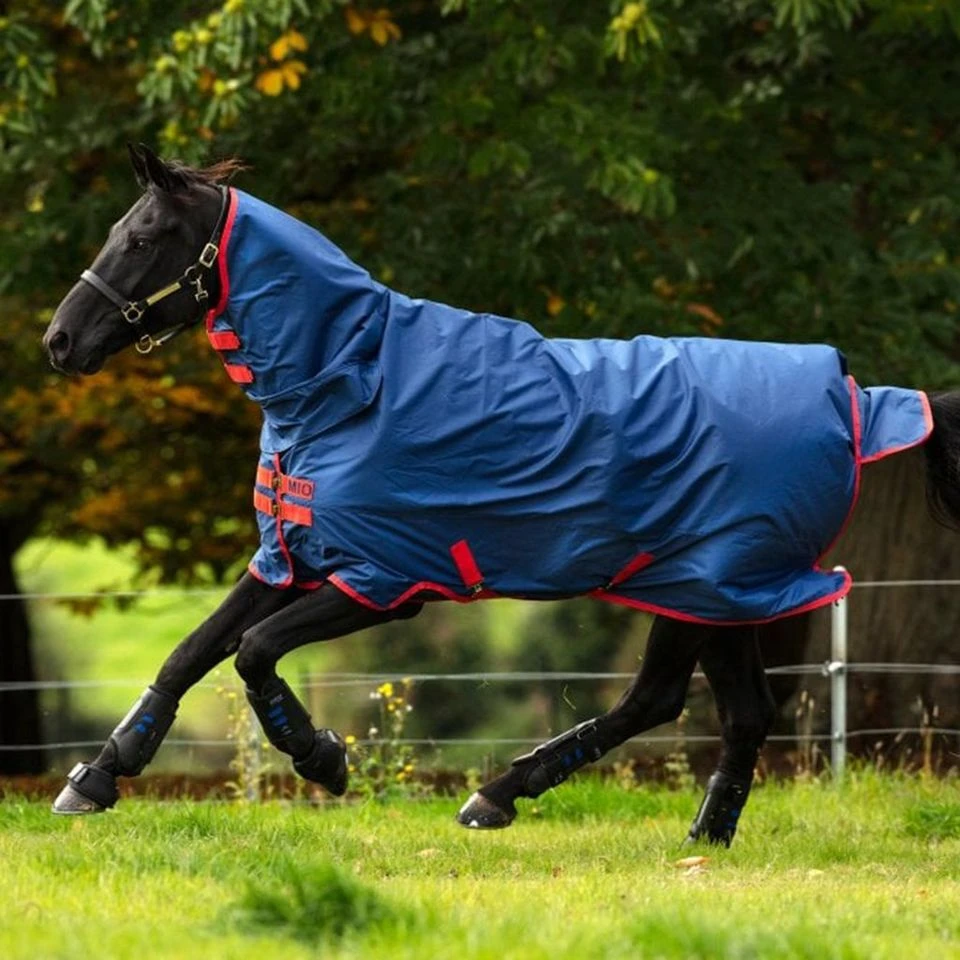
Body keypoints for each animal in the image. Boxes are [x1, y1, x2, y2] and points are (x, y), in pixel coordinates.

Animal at [41, 144, 960, 845]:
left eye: (145, 236)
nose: (59, 340)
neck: (350, 382)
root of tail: (855, 397)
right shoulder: (290, 558)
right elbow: (191, 652)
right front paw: (97, 776)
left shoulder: (383, 582)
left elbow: (254, 652)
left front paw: (322, 758)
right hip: (713, 594)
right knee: (724, 710)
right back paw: (695, 834)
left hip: (709, 583)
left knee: (677, 702)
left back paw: (503, 797)